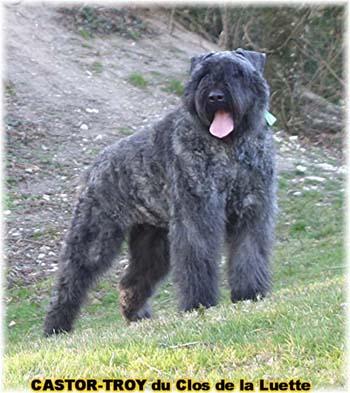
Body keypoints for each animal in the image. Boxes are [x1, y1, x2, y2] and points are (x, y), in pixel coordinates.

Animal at [44, 46, 276, 334]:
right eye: (203, 74)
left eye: (237, 73)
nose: (216, 96)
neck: (229, 147)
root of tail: (95, 166)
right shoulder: (197, 214)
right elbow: (197, 258)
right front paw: (199, 304)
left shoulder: (252, 210)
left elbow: (250, 253)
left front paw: (250, 294)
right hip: (94, 237)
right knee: (70, 280)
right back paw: (55, 327)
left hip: (153, 242)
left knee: (131, 281)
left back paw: (138, 316)